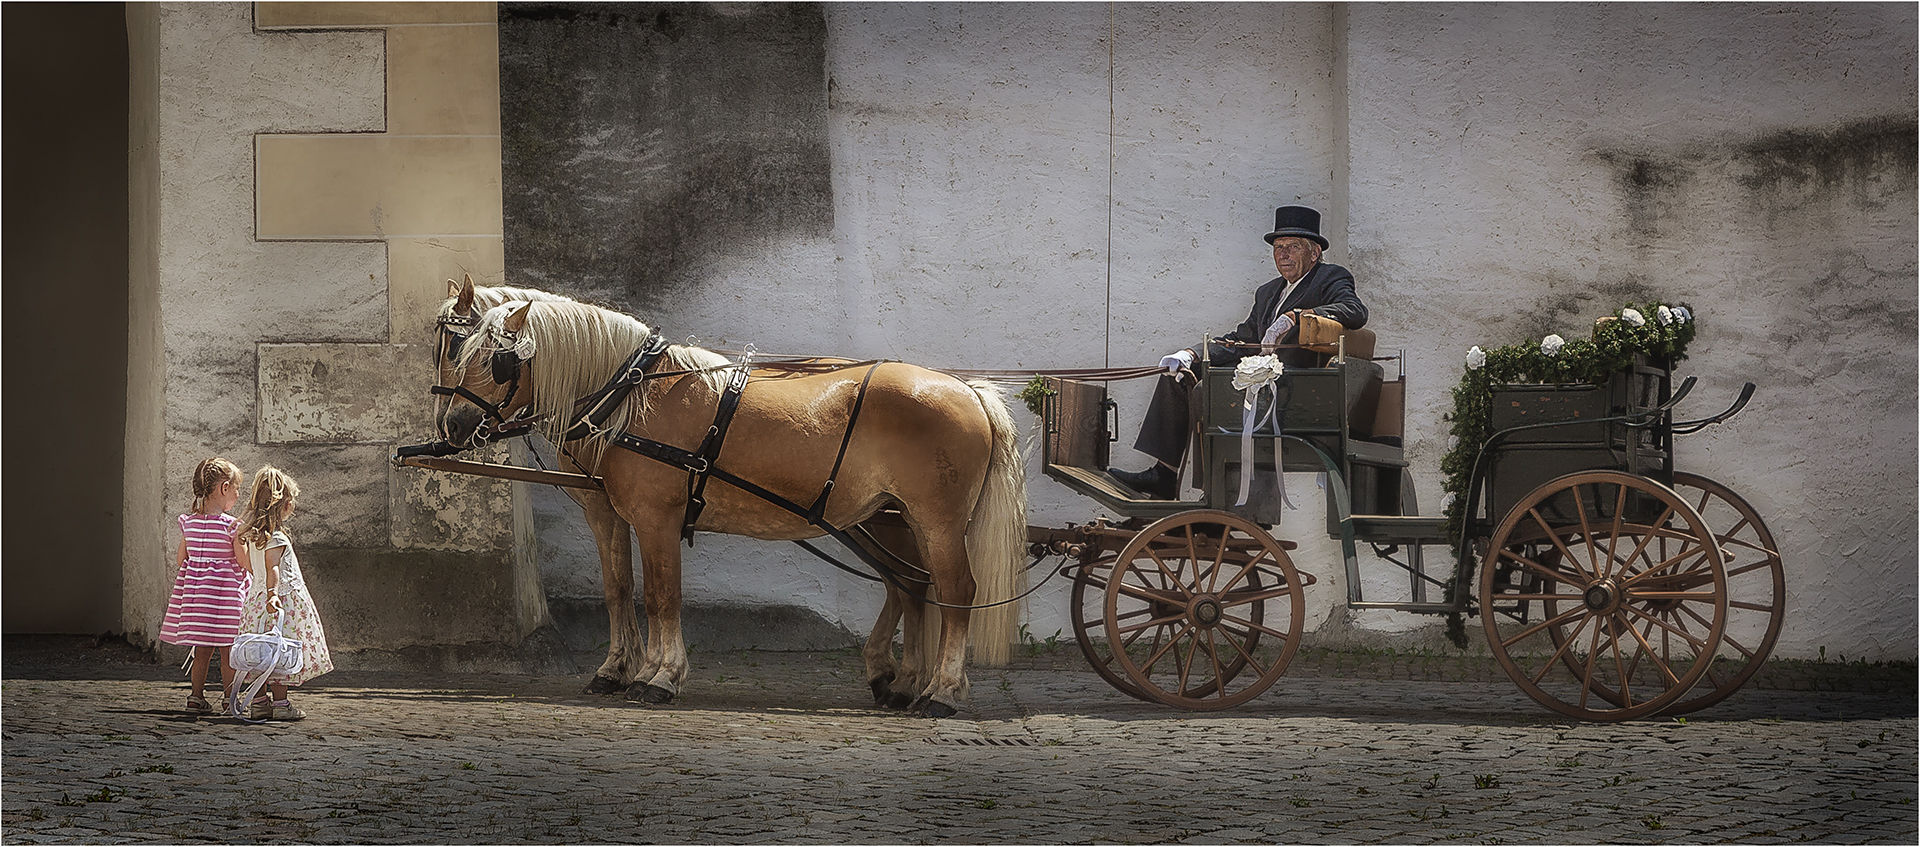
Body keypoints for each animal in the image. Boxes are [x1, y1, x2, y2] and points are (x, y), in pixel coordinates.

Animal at [428, 286, 1029, 714]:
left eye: (496, 360)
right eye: (455, 349)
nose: (452, 425)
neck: (629, 395)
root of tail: (968, 389)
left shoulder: (656, 518)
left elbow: (661, 596)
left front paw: (660, 676)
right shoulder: (609, 511)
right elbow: (619, 589)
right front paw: (618, 671)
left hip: (937, 522)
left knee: (956, 590)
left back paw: (942, 691)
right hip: (892, 520)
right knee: (912, 586)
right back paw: (902, 683)